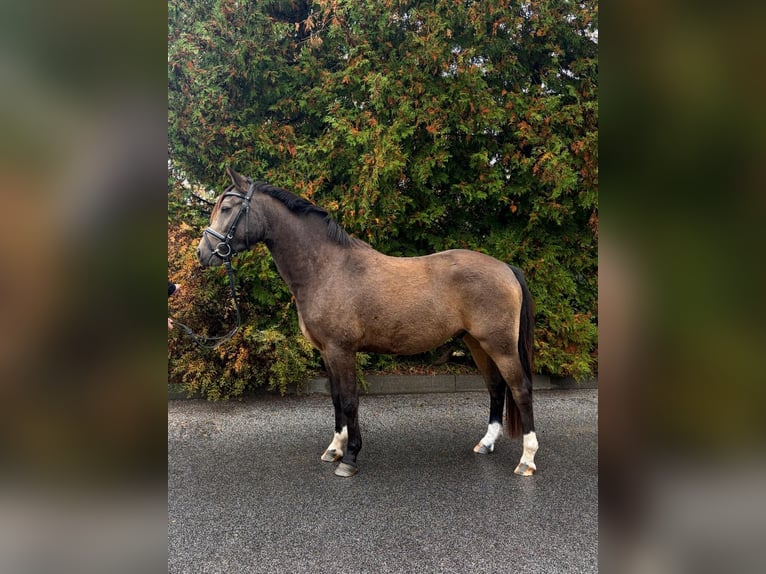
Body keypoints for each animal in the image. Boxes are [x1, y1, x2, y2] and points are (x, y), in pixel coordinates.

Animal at [197, 167, 538, 478]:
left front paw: (349, 458)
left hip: (500, 345)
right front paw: (334, 449)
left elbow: (349, 401)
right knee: (496, 386)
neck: (327, 269)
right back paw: (486, 443)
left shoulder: (341, 350)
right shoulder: (327, 352)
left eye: (227, 208)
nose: (203, 253)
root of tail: (505, 268)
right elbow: (336, 399)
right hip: (476, 342)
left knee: (519, 388)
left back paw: (527, 460)